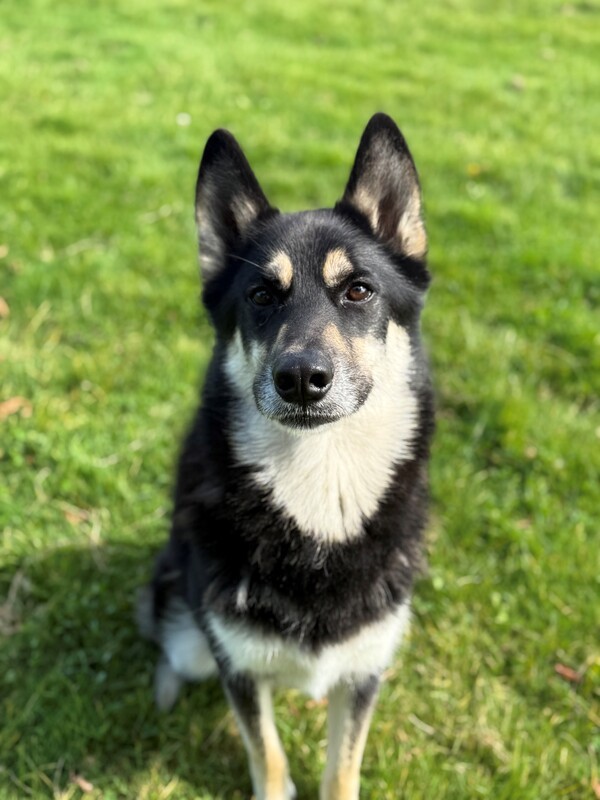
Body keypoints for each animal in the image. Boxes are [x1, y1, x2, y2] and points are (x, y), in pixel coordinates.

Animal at [138, 114, 434, 800]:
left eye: (359, 290)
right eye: (261, 296)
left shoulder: (364, 671)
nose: (301, 379)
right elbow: (268, 755)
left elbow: (343, 769)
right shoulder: (238, 666)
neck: (319, 493)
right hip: (192, 632)